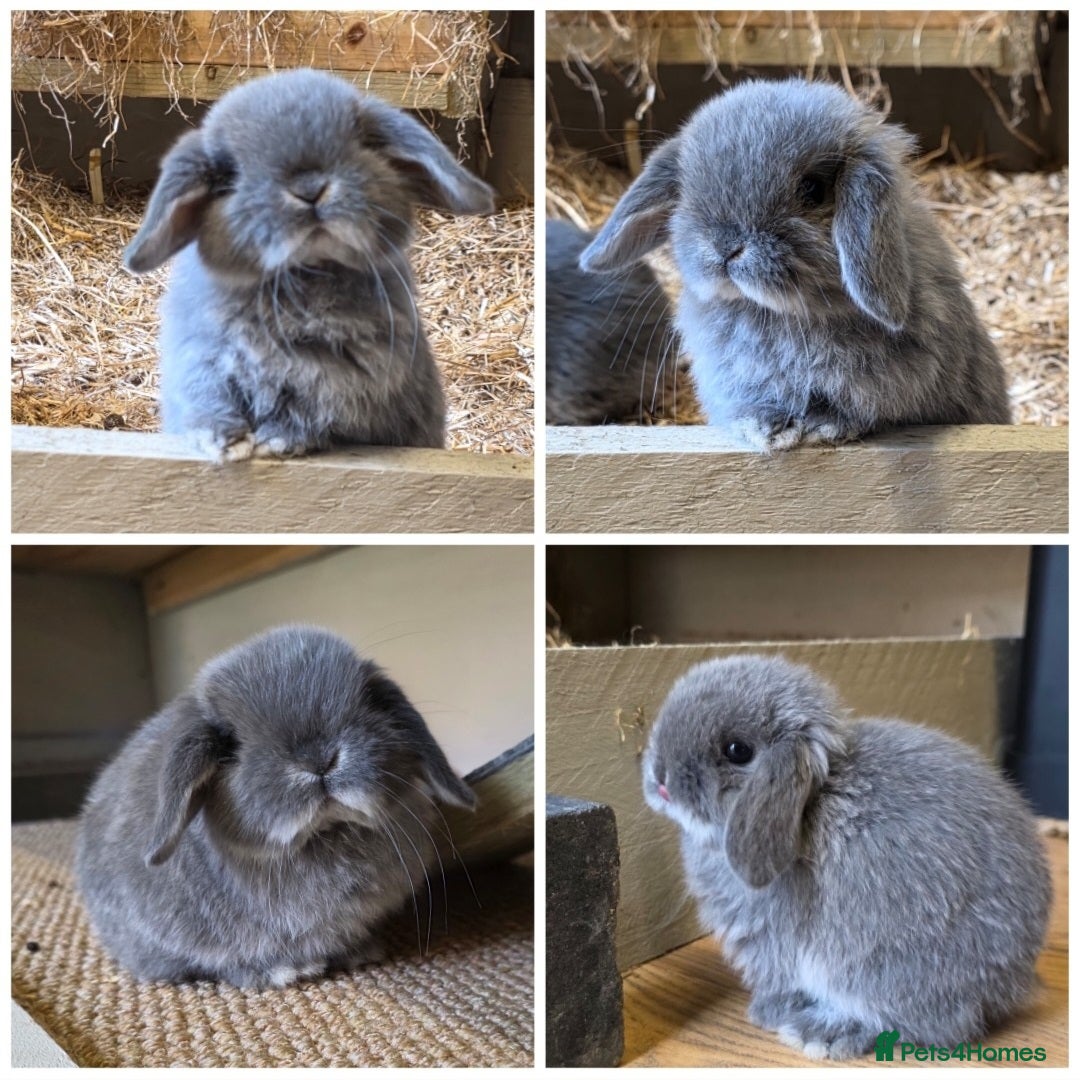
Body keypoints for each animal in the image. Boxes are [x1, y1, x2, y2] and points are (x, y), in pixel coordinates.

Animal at [75, 625, 476, 988]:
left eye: (368, 703)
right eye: (230, 744)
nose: (319, 760)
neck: (323, 834)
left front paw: (360, 953)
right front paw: (285, 971)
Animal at [124, 68, 495, 460]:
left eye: (362, 144)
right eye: (228, 175)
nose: (309, 190)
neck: (306, 272)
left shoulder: (344, 380)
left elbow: (313, 412)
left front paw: (275, 441)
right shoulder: (201, 360)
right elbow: (208, 401)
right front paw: (226, 442)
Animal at [581, 79, 1011, 451]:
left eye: (813, 190)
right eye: (686, 191)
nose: (725, 247)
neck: (779, 314)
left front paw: (822, 427)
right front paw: (768, 431)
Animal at [642, 654, 1050, 1060]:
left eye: (737, 750)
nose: (660, 776)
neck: (811, 801)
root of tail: (1010, 986)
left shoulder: (772, 940)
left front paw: (767, 1011)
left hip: (873, 966)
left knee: (928, 1024)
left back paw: (820, 1033)